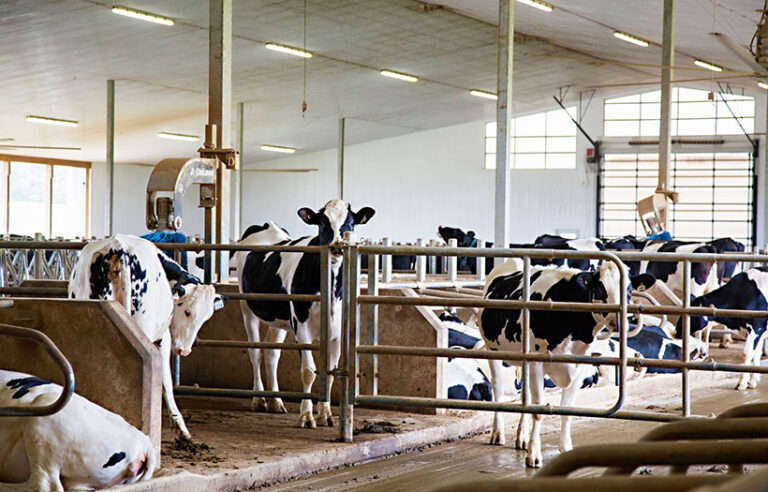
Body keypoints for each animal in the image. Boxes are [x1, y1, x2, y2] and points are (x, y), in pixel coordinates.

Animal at [68, 236, 225, 440]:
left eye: (206, 318)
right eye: (188, 311)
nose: (184, 350)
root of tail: (119, 249)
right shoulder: (163, 337)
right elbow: (166, 380)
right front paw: (180, 428)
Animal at [237, 199, 376, 426]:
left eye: (351, 223)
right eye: (322, 223)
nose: (337, 246)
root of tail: (266, 225)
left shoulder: (337, 334)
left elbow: (329, 373)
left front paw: (326, 414)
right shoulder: (301, 328)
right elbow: (309, 371)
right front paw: (307, 415)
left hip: (280, 319)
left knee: (271, 353)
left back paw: (275, 402)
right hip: (247, 308)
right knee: (255, 352)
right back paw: (258, 399)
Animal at [480, 260, 632, 468]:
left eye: (629, 289)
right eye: (601, 287)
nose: (617, 322)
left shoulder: (579, 366)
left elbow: (567, 410)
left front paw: (565, 448)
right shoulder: (537, 361)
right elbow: (539, 411)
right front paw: (534, 455)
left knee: (525, 396)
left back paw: (522, 438)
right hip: (492, 350)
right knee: (498, 390)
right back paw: (498, 433)